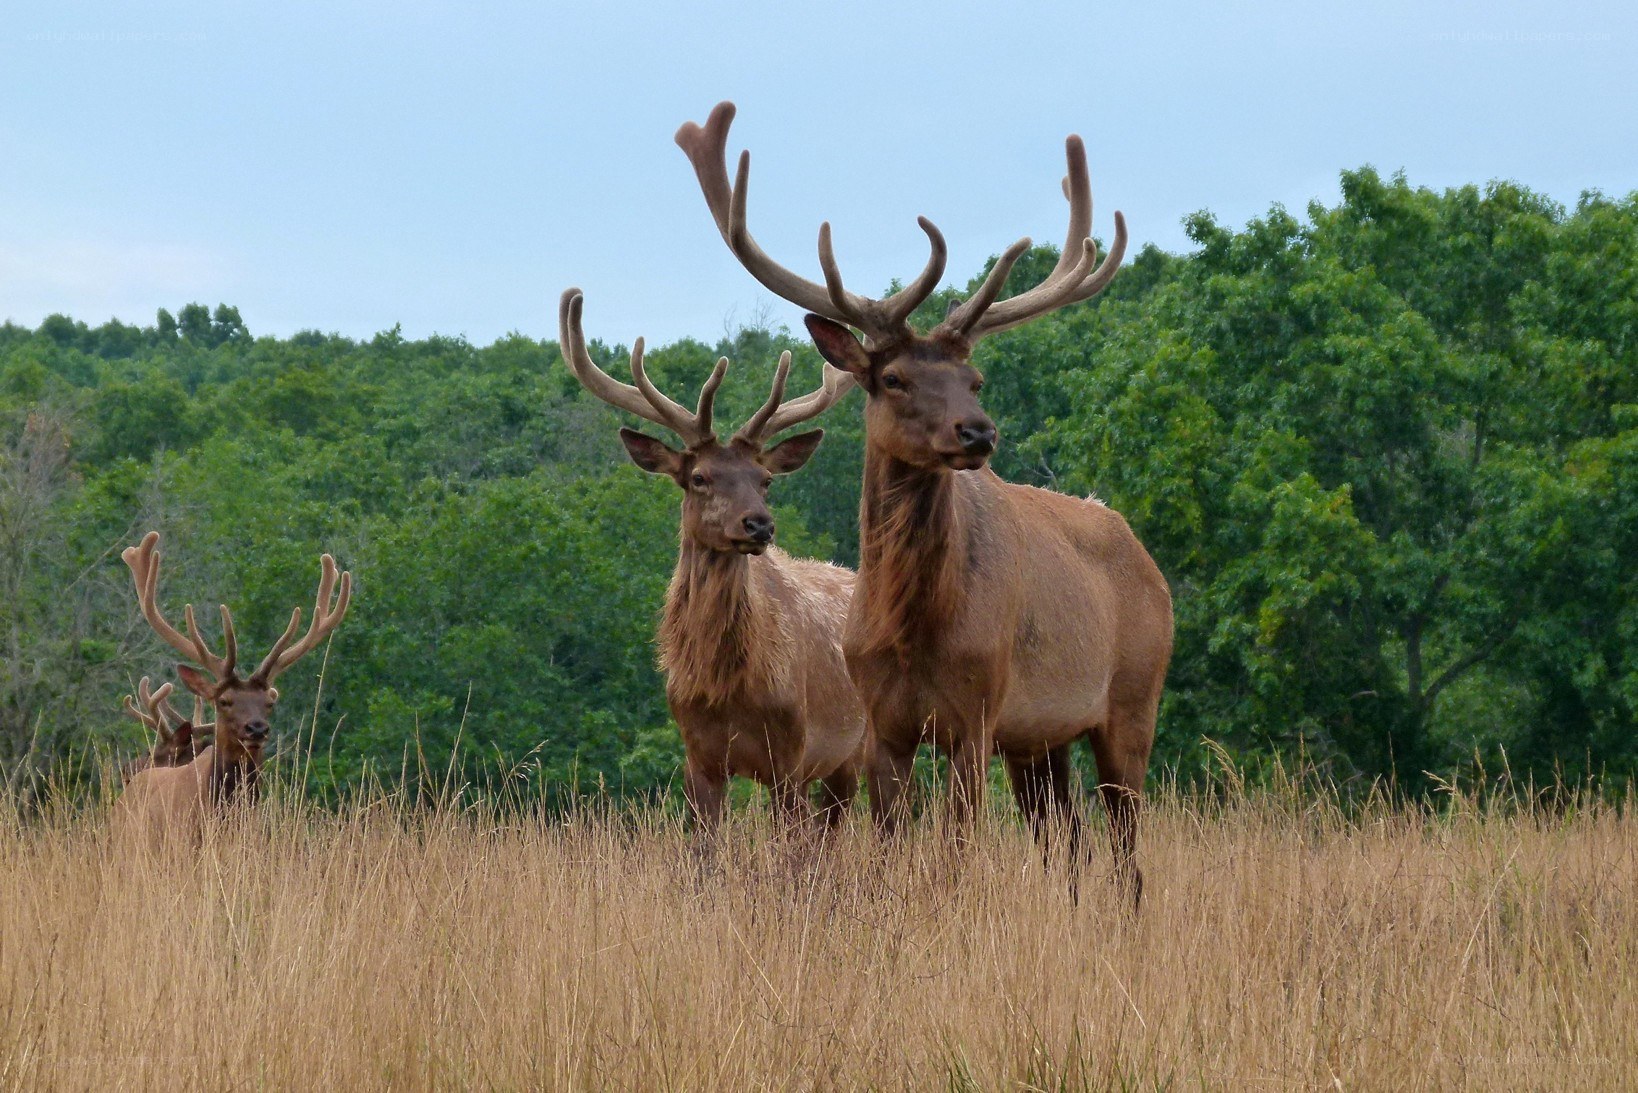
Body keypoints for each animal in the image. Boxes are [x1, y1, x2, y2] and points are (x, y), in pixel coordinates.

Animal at [558, 288, 866, 835]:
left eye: (765, 479)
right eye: (699, 477)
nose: (759, 525)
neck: (726, 692)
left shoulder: (792, 752)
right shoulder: (697, 757)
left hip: (856, 743)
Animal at [677, 102, 1173, 903]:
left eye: (973, 379)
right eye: (895, 378)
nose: (979, 431)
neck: (913, 628)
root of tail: (1143, 554)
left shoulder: (976, 709)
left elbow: (955, 850)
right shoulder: (884, 722)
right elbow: (890, 849)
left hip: (1132, 698)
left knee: (1126, 846)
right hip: (1042, 737)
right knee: (1068, 842)